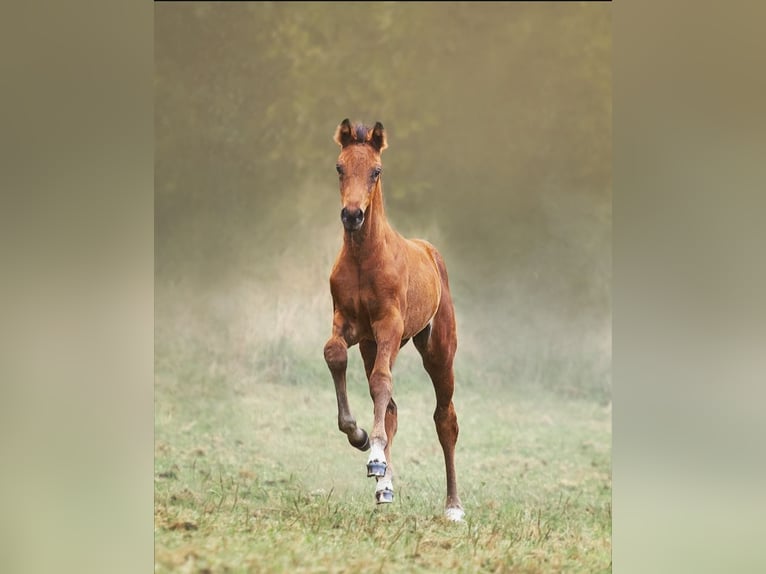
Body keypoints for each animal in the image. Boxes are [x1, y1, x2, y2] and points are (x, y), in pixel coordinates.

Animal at [323, 119, 465, 521]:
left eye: (376, 171)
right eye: (339, 167)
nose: (352, 215)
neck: (364, 259)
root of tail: (430, 251)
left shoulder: (389, 325)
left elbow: (381, 383)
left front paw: (373, 456)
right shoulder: (350, 325)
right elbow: (334, 355)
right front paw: (359, 437)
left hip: (437, 351)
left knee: (445, 418)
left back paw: (453, 506)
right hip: (372, 346)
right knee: (392, 409)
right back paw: (383, 486)